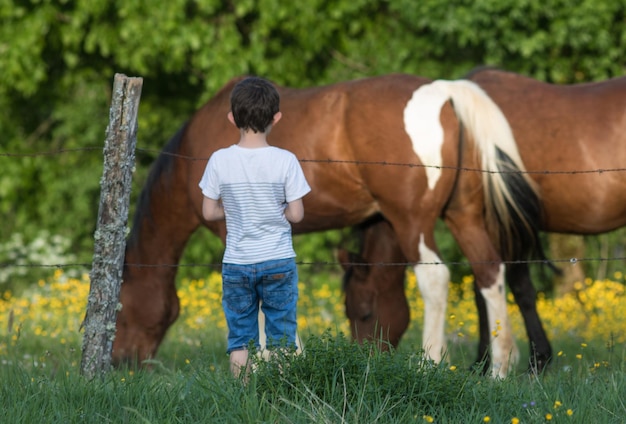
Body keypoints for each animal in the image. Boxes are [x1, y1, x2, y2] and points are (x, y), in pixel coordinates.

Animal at [113, 73, 540, 378]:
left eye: (119, 309)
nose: (122, 363)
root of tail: (445, 92)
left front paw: (274, 362)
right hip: (463, 217)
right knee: (489, 272)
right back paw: (499, 368)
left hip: (413, 221)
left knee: (435, 279)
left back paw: (430, 362)